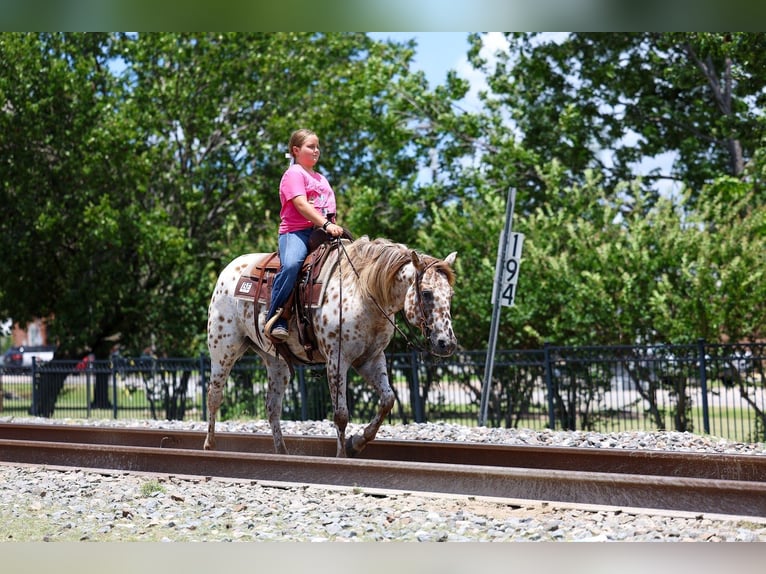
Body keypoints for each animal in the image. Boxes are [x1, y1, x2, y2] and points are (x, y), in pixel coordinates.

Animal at [204, 236, 458, 457]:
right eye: (426, 293)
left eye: (451, 294)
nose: (447, 343)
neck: (364, 292)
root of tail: (229, 270)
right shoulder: (337, 360)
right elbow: (341, 414)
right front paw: (342, 455)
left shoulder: (371, 359)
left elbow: (387, 400)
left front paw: (357, 443)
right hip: (223, 350)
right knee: (214, 396)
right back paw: (210, 446)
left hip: (276, 362)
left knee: (272, 407)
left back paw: (282, 452)